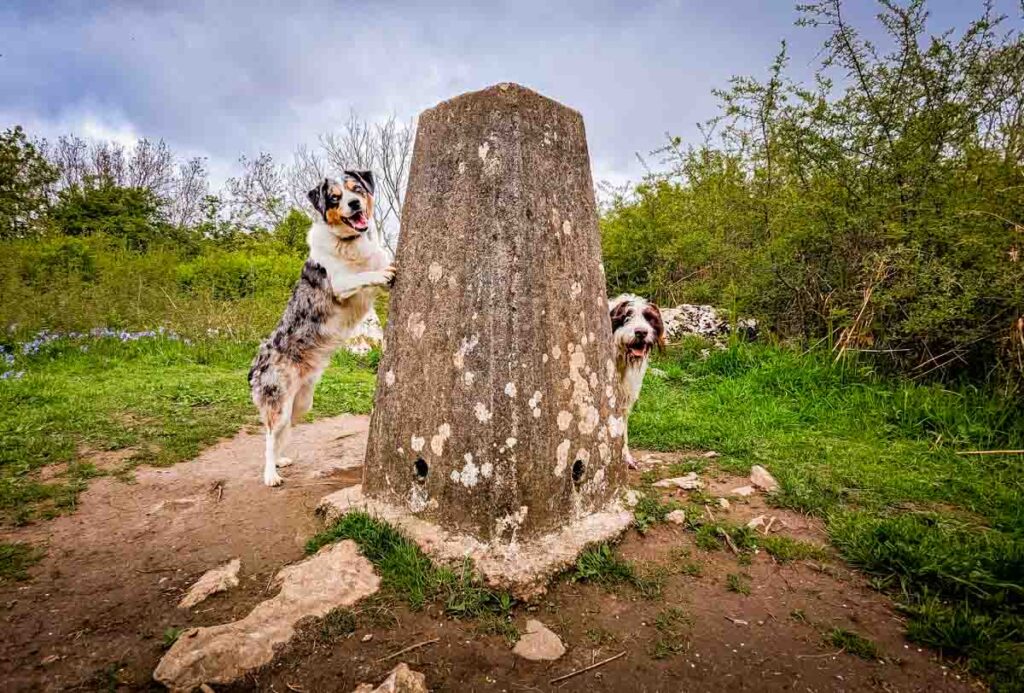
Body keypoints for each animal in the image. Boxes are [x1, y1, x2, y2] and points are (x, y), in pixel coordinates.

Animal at [246, 171, 391, 487]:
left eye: (357, 189)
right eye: (334, 198)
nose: (353, 204)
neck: (349, 244)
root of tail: (256, 363)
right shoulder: (341, 284)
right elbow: (364, 275)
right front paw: (383, 274)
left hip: (301, 404)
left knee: (280, 436)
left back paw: (280, 461)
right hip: (279, 401)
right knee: (268, 437)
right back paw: (271, 474)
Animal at [606, 294, 663, 466]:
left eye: (649, 318)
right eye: (626, 317)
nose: (641, 332)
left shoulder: (624, 397)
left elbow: (622, 427)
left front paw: (625, 456)